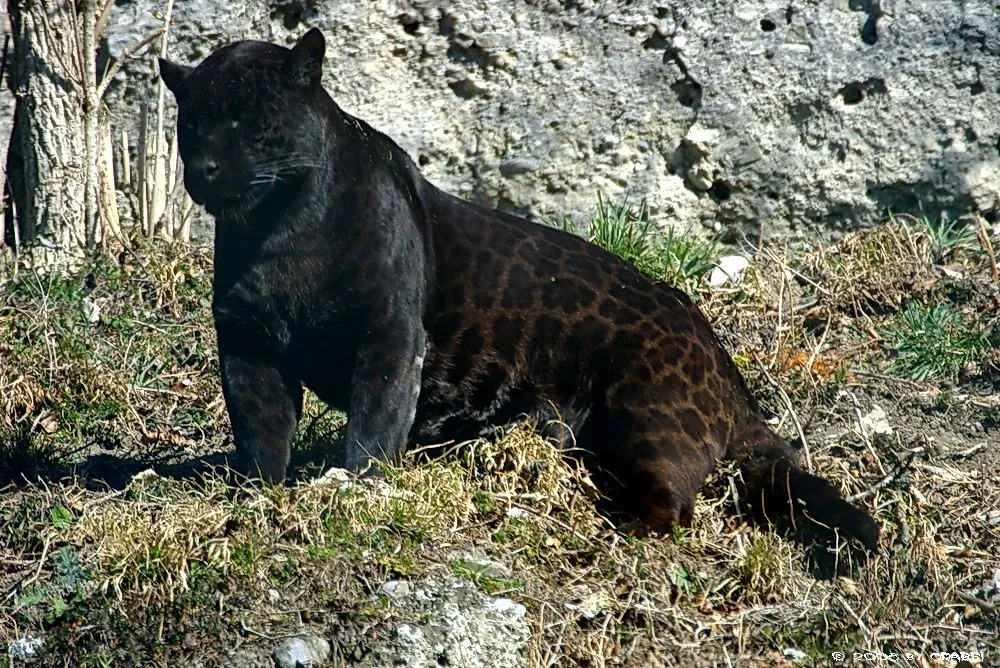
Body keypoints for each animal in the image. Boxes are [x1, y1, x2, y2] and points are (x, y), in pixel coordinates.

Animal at [159, 28, 880, 551]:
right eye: (191, 125)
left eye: (250, 120)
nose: (206, 168)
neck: (277, 234)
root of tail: (720, 357)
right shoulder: (248, 345)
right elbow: (261, 428)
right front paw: (257, 496)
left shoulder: (387, 337)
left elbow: (374, 424)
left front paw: (354, 490)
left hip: (648, 414)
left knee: (675, 506)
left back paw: (610, 530)